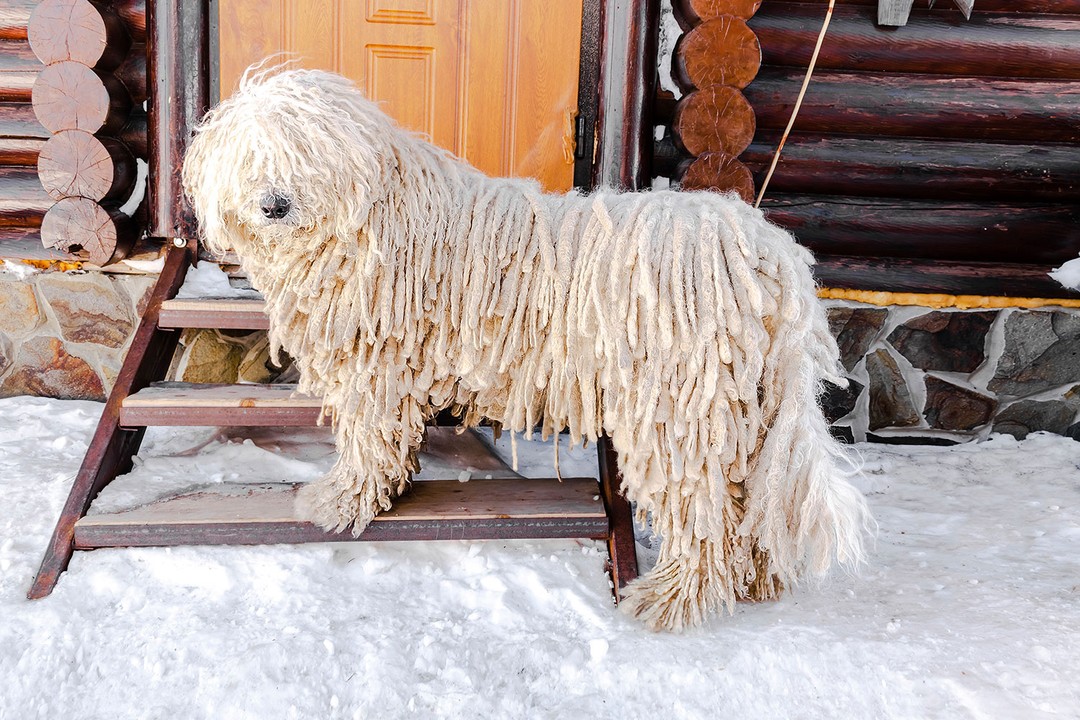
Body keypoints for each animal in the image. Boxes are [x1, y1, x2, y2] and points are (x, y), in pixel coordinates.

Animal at [179, 66, 868, 630]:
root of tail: (768, 250)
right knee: (749, 497)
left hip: (680, 406)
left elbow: (366, 438)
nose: (274, 204)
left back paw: (670, 600)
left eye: (304, 152)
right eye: (251, 157)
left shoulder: (374, 368)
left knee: (701, 509)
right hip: (746, 406)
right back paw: (756, 581)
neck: (375, 219)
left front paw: (338, 502)